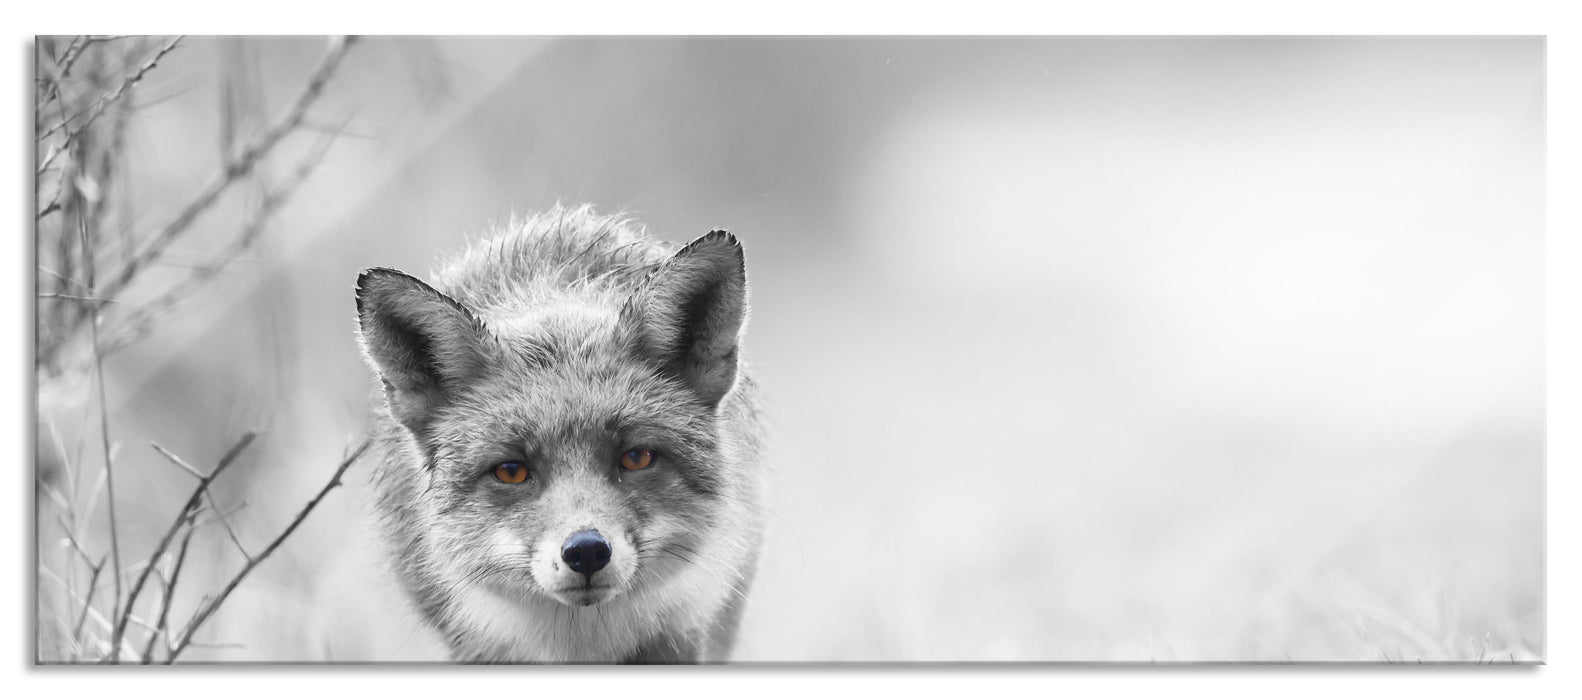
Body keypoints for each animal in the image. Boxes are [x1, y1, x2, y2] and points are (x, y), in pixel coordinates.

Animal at [353, 205, 766, 663]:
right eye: (511, 471)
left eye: (636, 458)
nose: (586, 551)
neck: (581, 644)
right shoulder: (477, 646)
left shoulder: (679, 633)